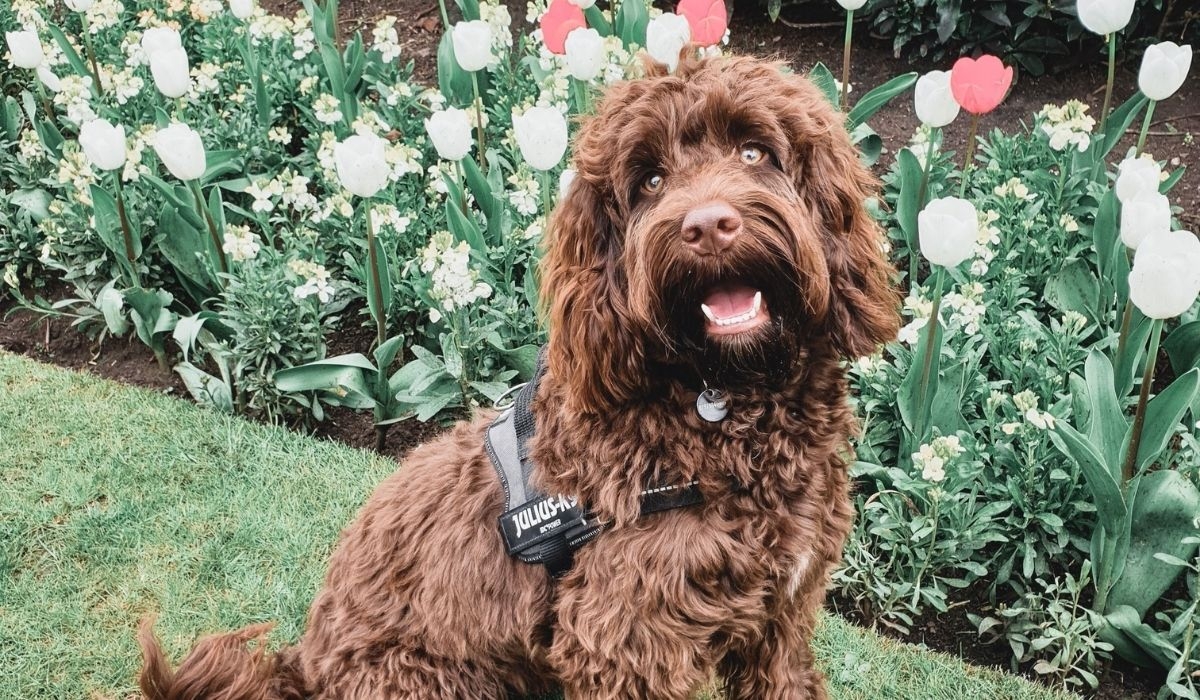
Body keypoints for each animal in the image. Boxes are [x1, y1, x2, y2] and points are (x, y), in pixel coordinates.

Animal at [136, 51, 897, 696]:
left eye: (753, 150)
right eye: (649, 180)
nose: (707, 226)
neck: (721, 404)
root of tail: (307, 666)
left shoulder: (782, 615)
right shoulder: (624, 638)